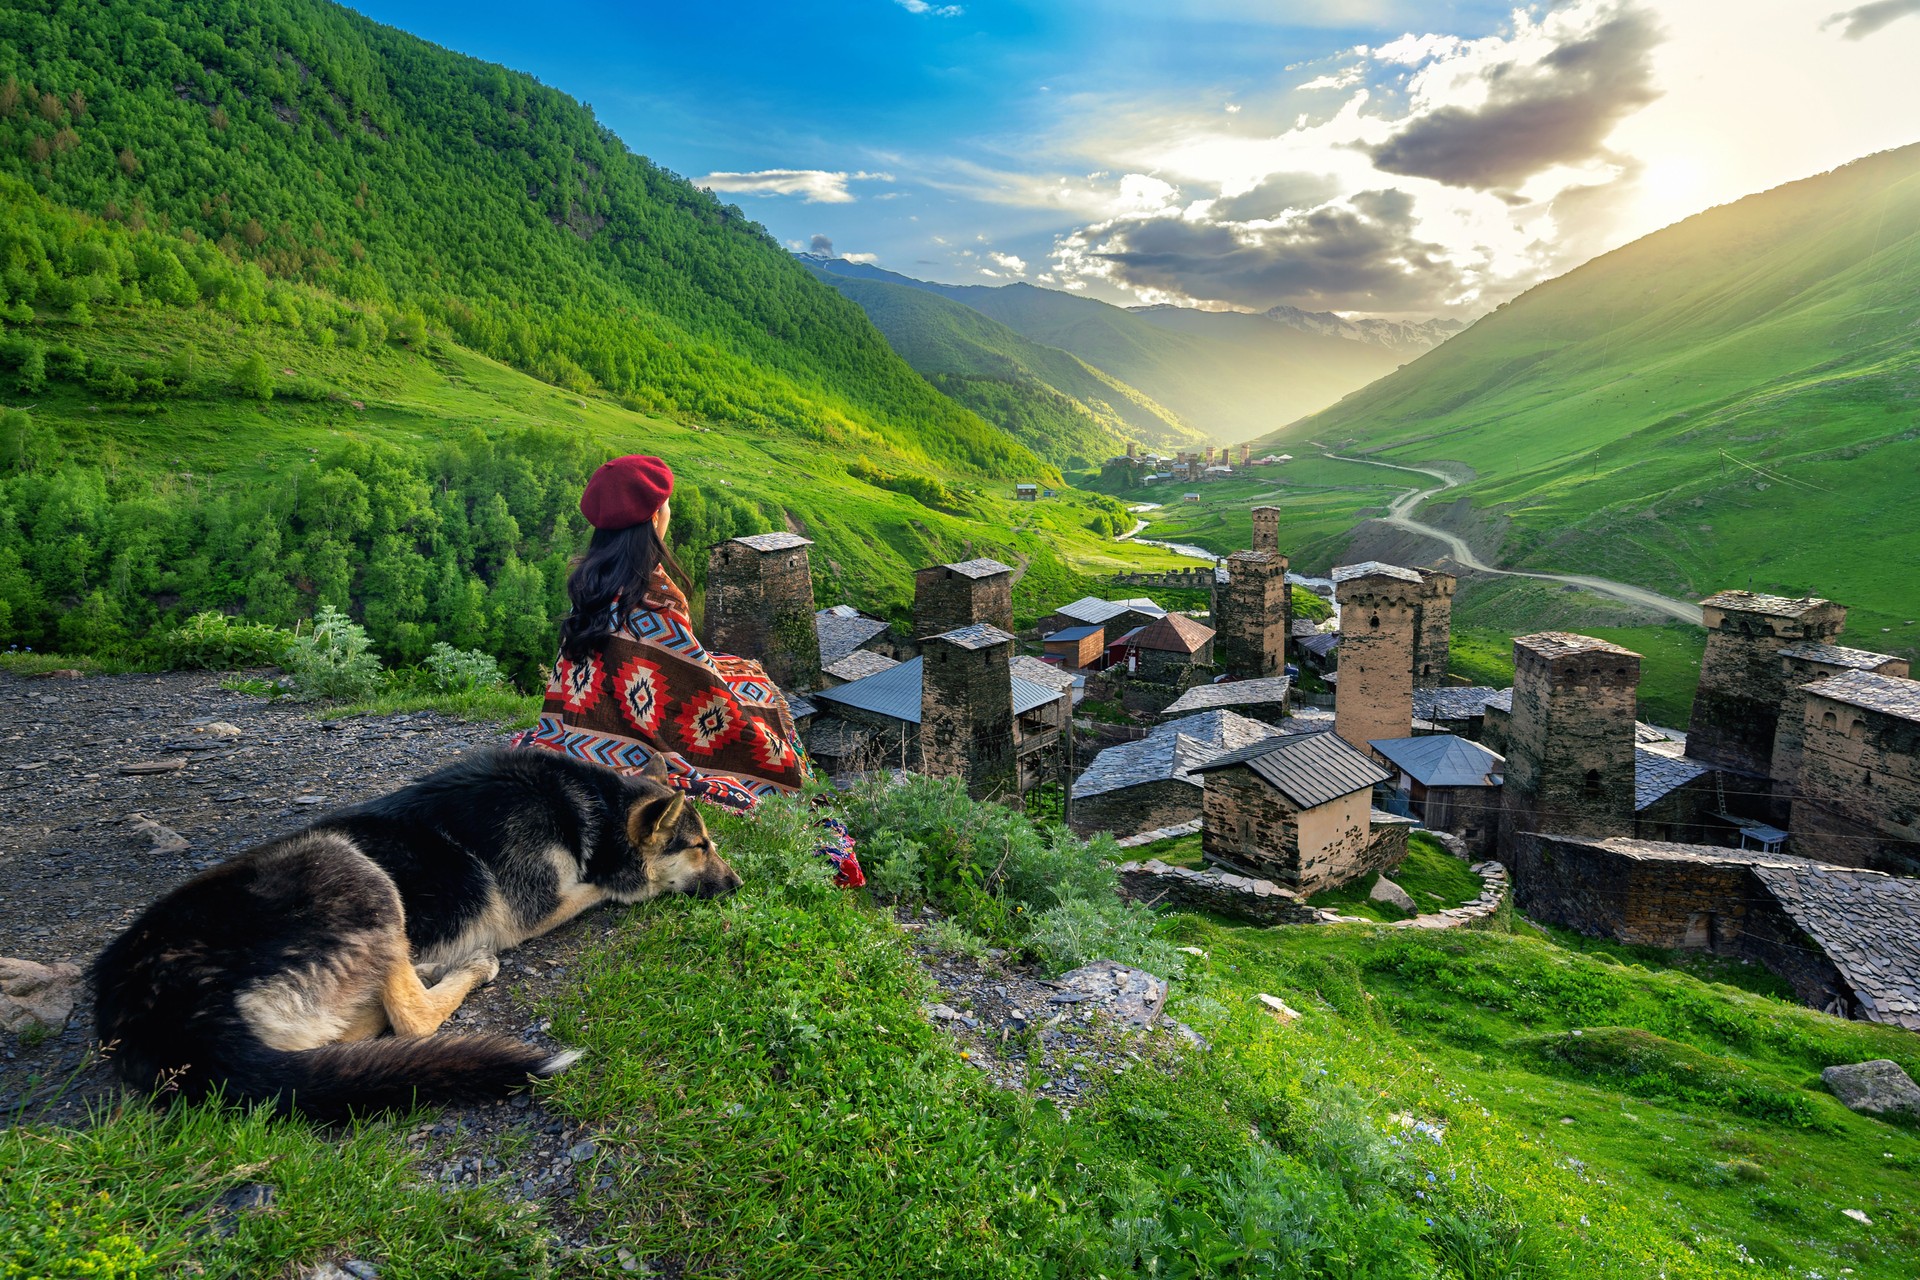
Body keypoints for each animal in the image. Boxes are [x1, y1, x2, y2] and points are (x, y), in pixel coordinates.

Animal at [90, 752, 737, 1120]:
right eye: (701, 845)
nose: (737, 883)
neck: (594, 810)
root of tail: (158, 1017)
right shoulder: (541, 905)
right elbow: (606, 888)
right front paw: (632, 884)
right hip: (354, 868)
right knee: (411, 1016)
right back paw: (466, 967)